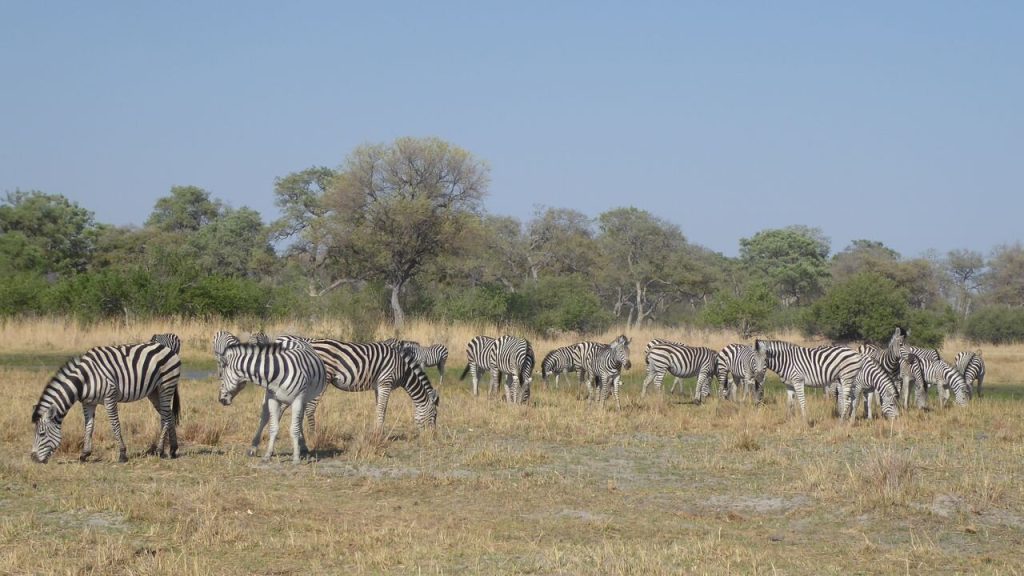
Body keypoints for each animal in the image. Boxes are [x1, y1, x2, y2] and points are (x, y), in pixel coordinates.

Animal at [31, 341, 181, 464]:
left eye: (41, 434)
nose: (33, 458)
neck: (84, 380)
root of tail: (167, 348)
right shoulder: (88, 403)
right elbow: (89, 426)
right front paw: (84, 454)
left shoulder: (110, 397)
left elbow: (115, 425)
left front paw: (122, 454)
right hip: (154, 392)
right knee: (168, 415)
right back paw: (173, 449)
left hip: (166, 386)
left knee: (166, 417)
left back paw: (160, 450)